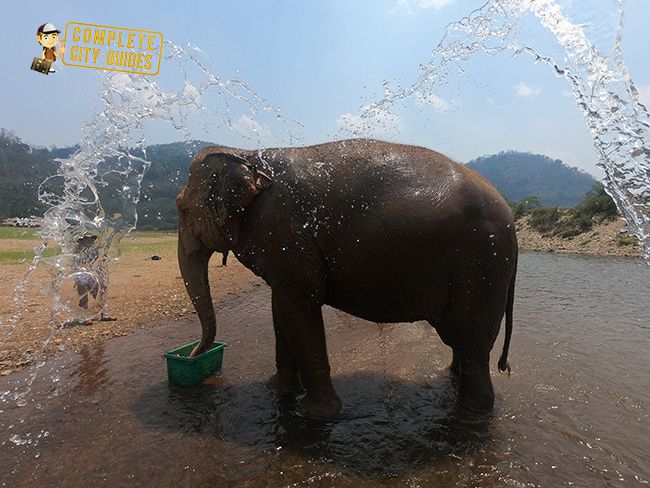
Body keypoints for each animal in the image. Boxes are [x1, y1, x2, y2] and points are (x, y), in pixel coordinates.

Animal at [176, 139, 517, 419]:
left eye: (181, 209)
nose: (192, 354)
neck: (247, 154)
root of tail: (512, 224)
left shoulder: (286, 233)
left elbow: (298, 309)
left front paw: (312, 414)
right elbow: (281, 311)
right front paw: (278, 391)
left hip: (480, 267)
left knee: (471, 344)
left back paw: (469, 417)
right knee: (464, 345)